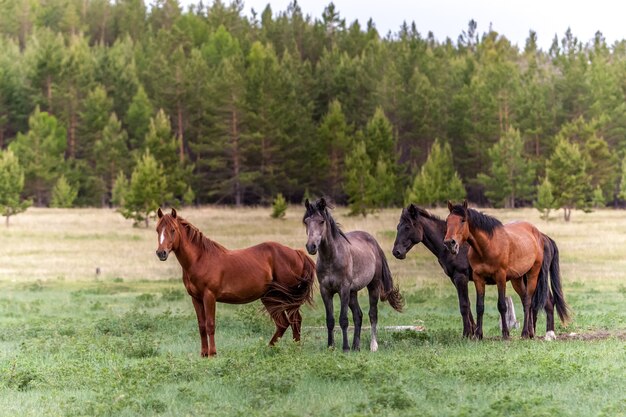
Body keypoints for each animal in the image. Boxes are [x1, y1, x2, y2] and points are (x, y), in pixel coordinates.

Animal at [154, 207, 314, 354]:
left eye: (173, 230)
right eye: (157, 230)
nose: (161, 253)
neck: (200, 259)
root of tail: (297, 253)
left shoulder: (209, 296)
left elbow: (210, 325)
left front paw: (212, 354)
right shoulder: (196, 298)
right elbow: (201, 326)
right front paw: (204, 354)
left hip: (287, 297)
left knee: (295, 320)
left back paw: (295, 349)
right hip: (270, 298)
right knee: (283, 323)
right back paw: (268, 349)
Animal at [304, 198, 402, 352]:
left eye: (321, 221)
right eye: (306, 221)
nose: (311, 246)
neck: (331, 257)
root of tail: (375, 244)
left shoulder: (343, 289)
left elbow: (343, 320)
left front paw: (345, 348)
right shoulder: (325, 290)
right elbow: (330, 320)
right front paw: (330, 346)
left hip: (373, 286)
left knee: (372, 314)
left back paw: (373, 346)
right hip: (353, 292)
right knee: (358, 315)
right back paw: (356, 346)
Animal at [390, 204, 560, 338]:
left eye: (407, 227)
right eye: (398, 227)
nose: (396, 252)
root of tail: (543, 237)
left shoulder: (461, 277)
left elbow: (465, 305)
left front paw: (467, 333)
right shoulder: (458, 279)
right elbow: (469, 305)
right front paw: (473, 331)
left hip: (533, 276)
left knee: (543, 302)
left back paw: (546, 334)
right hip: (519, 278)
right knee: (535, 301)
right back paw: (533, 331)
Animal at [442, 200, 568, 340]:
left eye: (463, 220)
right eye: (447, 220)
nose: (450, 243)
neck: (487, 246)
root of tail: (540, 235)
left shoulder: (500, 277)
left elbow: (502, 305)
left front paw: (505, 334)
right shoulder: (478, 278)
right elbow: (479, 306)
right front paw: (478, 334)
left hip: (533, 275)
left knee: (528, 301)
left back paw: (525, 333)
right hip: (518, 279)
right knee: (525, 300)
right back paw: (530, 332)